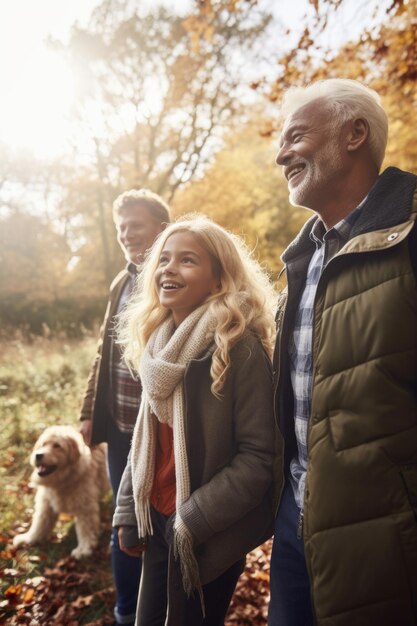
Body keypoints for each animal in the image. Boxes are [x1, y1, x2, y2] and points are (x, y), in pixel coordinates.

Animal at [13, 424, 109, 556]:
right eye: (43, 444)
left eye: (57, 446)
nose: (38, 455)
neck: (63, 480)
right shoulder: (46, 504)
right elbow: (40, 524)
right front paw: (29, 539)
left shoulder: (85, 507)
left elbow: (85, 529)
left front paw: (84, 548)